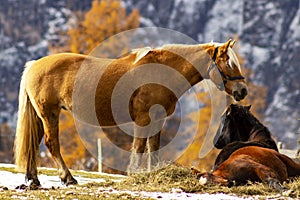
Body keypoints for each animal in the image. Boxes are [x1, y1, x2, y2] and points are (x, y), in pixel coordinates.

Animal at [14, 38, 247, 188]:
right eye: (228, 63)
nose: (242, 90)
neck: (161, 72)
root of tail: (34, 65)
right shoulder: (143, 119)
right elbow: (139, 147)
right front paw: (133, 174)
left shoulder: (158, 120)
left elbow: (153, 148)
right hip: (49, 114)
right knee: (51, 144)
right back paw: (68, 178)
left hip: (40, 116)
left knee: (34, 144)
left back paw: (34, 180)